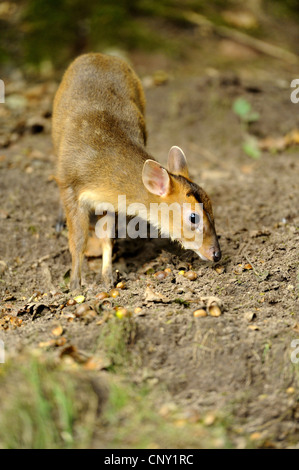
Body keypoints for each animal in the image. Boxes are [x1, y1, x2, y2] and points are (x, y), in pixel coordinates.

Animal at [51, 52, 221, 290]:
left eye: (212, 206)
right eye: (193, 217)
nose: (216, 254)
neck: (100, 170)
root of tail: (100, 55)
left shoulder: (108, 201)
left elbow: (106, 236)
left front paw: (108, 277)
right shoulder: (71, 185)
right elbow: (78, 240)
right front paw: (75, 283)